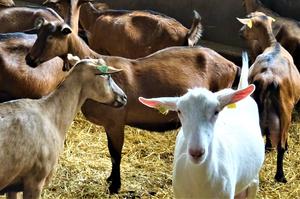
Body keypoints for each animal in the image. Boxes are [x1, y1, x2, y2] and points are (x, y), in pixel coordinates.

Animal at [25, 17, 240, 193]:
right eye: (38, 33)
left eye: (50, 37)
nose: (29, 59)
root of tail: (231, 65)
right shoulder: (110, 125)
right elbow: (111, 152)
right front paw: (111, 179)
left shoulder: (116, 122)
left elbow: (115, 154)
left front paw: (115, 186)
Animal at [238, 11, 300, 183]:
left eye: (247, 24)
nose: (240, 32)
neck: (273, 44)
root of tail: (267, 77)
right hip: (285, 108)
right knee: (281, 145)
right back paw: (281, 176)